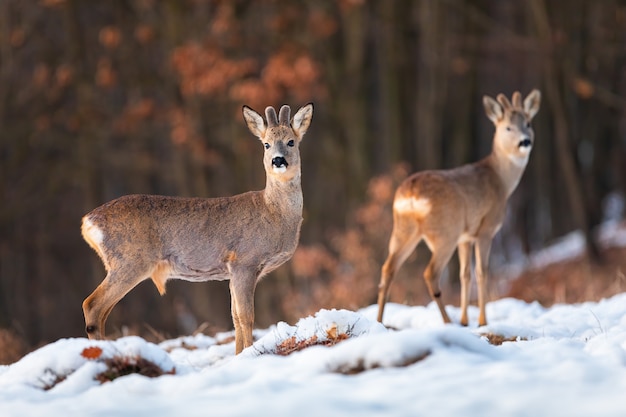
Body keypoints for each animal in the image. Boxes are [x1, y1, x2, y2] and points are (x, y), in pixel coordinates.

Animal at [80, 102, 312, 352]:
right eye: (266, 144)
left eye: (291, 141)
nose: (278, 160)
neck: (273, 213)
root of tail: (88, 221)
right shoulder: (244, 261)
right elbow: (246, 316)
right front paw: (248, 353)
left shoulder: (232, 271)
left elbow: (234, 317)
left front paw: (238, 355)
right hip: (131, 259)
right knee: (92, 304)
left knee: (102, 311)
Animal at [372, 89, 540, 326]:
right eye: (508, 127)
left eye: (528, 123)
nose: (525, 141)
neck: (501, 180)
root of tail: (412, 194)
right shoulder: (485, 229)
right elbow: (481, 272)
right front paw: (482, 321)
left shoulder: (465, 237)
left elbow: (464, 274)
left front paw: (465, 320)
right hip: (444, 232)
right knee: (430, 273)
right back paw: (447, 321)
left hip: (403, 229)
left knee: (388, 268)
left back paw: (379, 321)